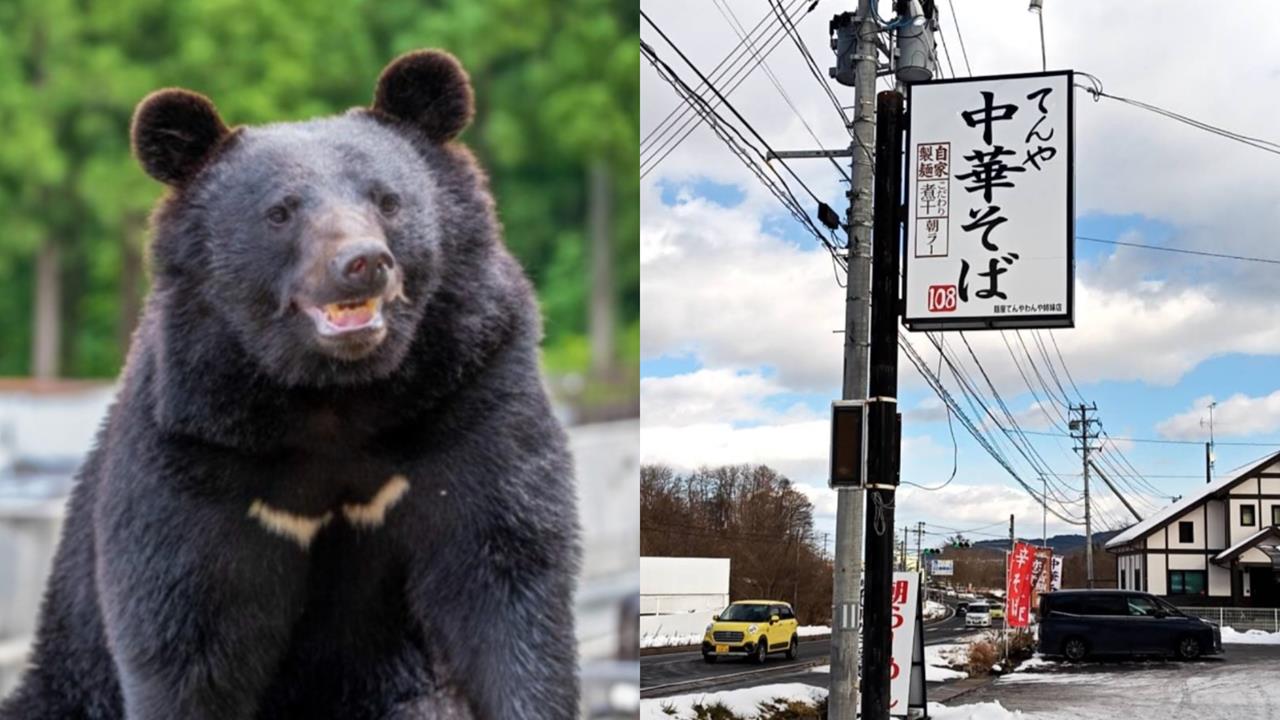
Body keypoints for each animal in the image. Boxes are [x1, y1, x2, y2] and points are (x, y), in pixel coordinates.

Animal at [0, 50, 580, 720]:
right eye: (279, 212)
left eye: (388, 201)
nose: (363, 262)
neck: (334, 395)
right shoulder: (192, 440)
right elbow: (185, 629)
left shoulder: (471, 388)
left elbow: (503, 571)